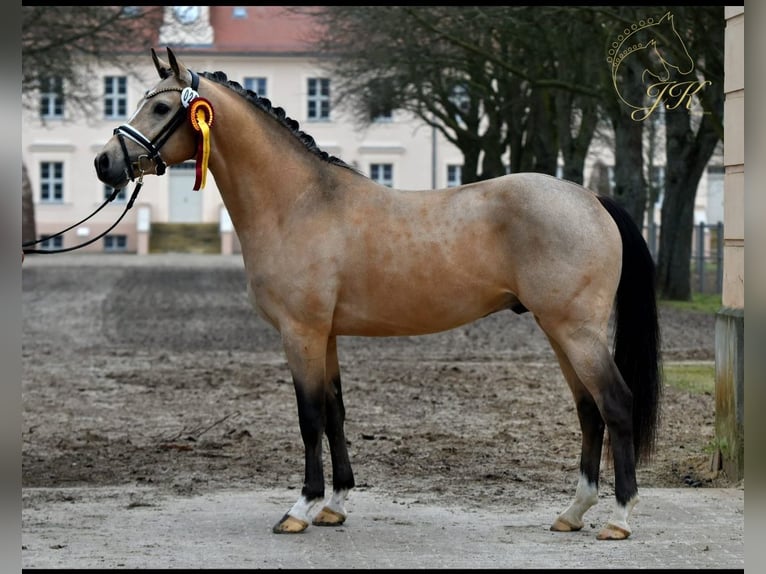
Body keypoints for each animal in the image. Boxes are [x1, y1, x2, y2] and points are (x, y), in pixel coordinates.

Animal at [93, 47, 664, 544]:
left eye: (161, 106)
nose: (105, 164)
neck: (299, 202)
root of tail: (590, 197)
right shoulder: (325, 335)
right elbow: (335, 414)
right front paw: (335, 505)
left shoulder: (301, 333)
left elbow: (309, 418)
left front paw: (301, 508)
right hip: (558, 330)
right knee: (588, 409)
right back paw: (573, 512)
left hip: (577, 330)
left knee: (615, 403)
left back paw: (619, 518)